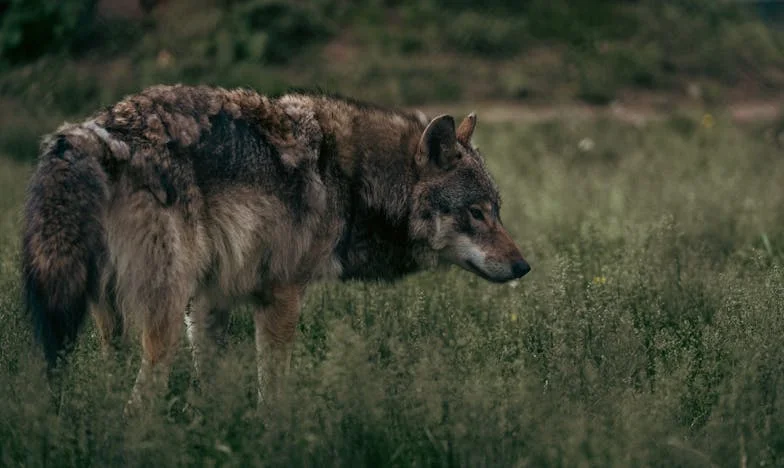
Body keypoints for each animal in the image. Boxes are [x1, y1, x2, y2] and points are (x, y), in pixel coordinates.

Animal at [19, 84, 532, 410]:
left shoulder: (207, 301)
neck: (350, 179)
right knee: (139, 404)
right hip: (159, 317)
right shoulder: (281, 295)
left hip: (111, 319)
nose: (524, 266)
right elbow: (274, 393)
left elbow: (212, 391)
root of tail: (97, 131)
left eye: (497, 210)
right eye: (476, 213)